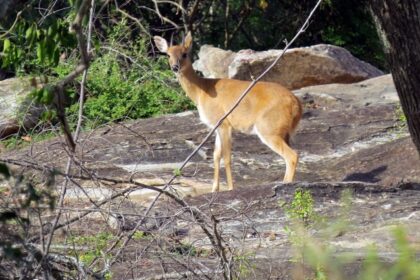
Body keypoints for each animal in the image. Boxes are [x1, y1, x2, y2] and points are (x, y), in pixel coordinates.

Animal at [154, 31, 302, 191]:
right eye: (168, 55)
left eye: (184, 54)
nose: (175, 67)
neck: (202, 91)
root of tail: (297, 104)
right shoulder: (216, 126)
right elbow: (216, 155)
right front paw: (214, 189)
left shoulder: (223, 122)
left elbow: (227, 157)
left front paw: (231, 188)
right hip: (283, 131)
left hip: (269, 128)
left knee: (292, 156)